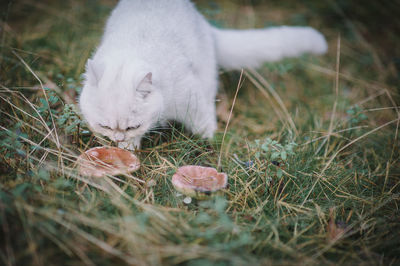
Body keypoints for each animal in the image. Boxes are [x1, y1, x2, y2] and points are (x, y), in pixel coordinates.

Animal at [79, 0, 328, 150]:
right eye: (105, 126)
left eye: (131, 126)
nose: (117, 138)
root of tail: (204, 22)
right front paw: (127, 150)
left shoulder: (191, 97)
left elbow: (203, 123)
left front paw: (210, 143)